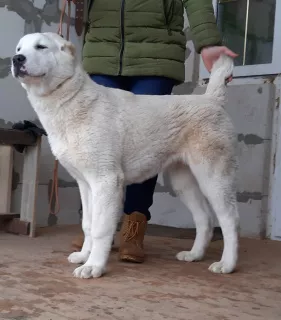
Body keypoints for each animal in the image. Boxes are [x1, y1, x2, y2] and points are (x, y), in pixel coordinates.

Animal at [10, 31, 238, 278]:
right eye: (19, 49)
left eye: (41, 47)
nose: (16, 59)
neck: (70, 99)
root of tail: (211, 99)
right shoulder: (85, 184)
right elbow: (88, 225)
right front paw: (84, 255)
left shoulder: (106, 181)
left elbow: (100, 228)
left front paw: (93, 266)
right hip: (182, 182)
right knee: (204, 218)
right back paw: (194, 254)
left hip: (213, 178)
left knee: (229, 219)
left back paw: (227, 264)